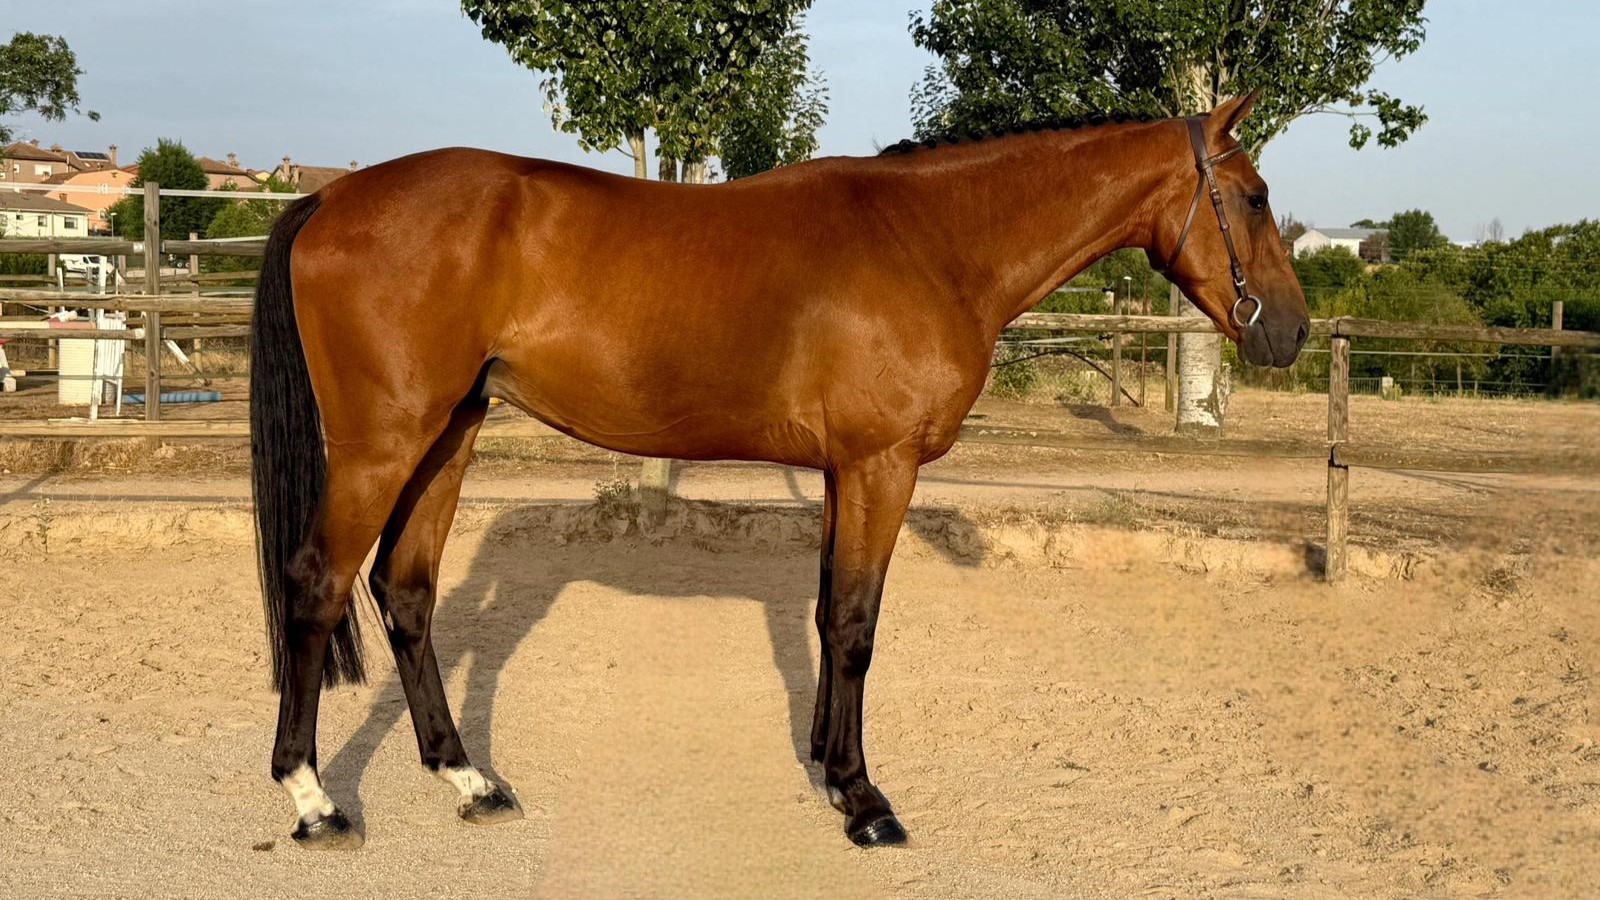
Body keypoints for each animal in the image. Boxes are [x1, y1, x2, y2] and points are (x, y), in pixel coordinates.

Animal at [249, 93, 1309, 850]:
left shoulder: (845, 471)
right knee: (315, 584)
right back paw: (312, 801)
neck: (933, 240)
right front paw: (867, 802)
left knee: (406, 591)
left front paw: (829, 768)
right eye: (1254, 198)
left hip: (449, 434)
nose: (1292, 333)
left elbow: (830, 613)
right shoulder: (882, 467)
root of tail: (331, 196)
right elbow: (856, 626)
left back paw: (470, 781)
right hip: (385, 444)